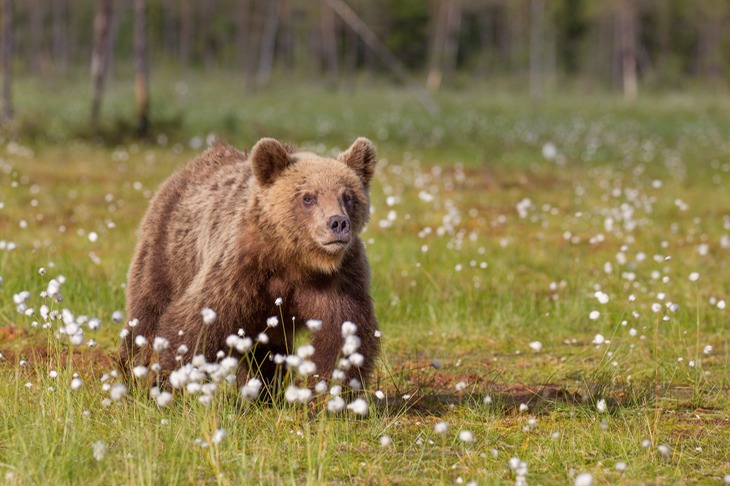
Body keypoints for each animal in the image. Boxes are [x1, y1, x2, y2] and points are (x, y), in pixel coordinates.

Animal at [116, 138, 378, 394]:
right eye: (308, 197)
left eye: (348, 196)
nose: (338, 223)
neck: (294, 259)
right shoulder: (238, 268)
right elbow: (194, 324)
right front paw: (169, 384)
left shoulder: (339, 278)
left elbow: (343, 335)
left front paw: (328, 391)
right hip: (168, 252)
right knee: (147, 312)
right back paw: (131, 372)